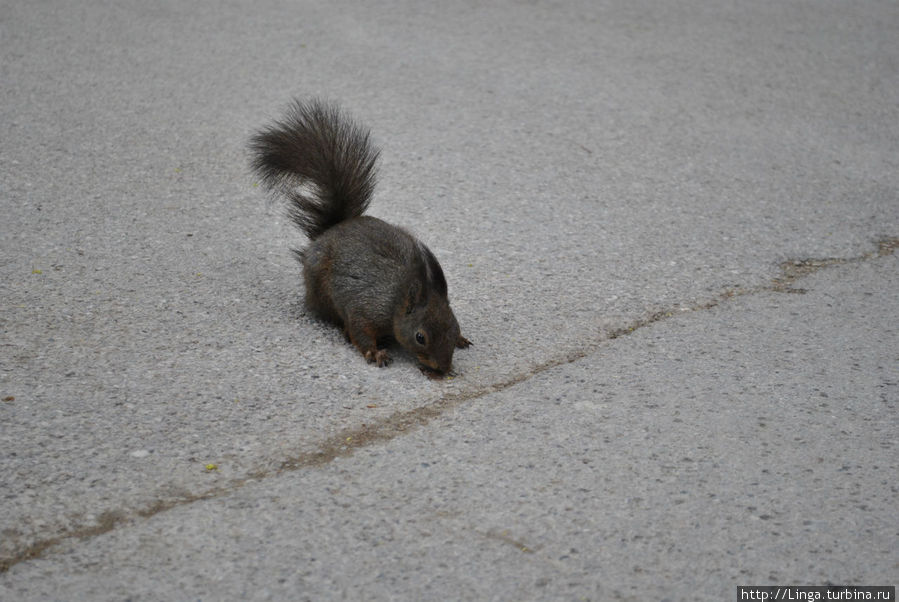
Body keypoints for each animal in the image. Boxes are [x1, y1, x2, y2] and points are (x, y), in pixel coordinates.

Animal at [248, 98, 472, 372]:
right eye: (420, 337)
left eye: (455, 326)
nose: (443, 368)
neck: (398, 300)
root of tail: (330, 231)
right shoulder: (366, 307)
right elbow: (360, 329)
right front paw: (374, 353)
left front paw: (462, 340)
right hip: (321, 291)